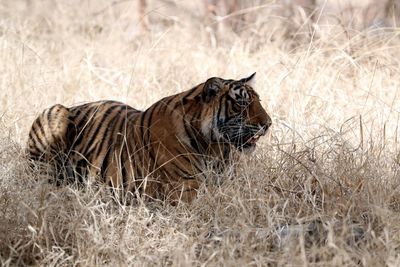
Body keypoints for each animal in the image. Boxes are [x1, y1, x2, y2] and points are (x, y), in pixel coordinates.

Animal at [27, 73, 272, 203]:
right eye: (242, 103)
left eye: (258, 101)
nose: (268, 124)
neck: (215, 147)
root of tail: (74, 106)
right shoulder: (185, 189)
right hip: (54, 113)